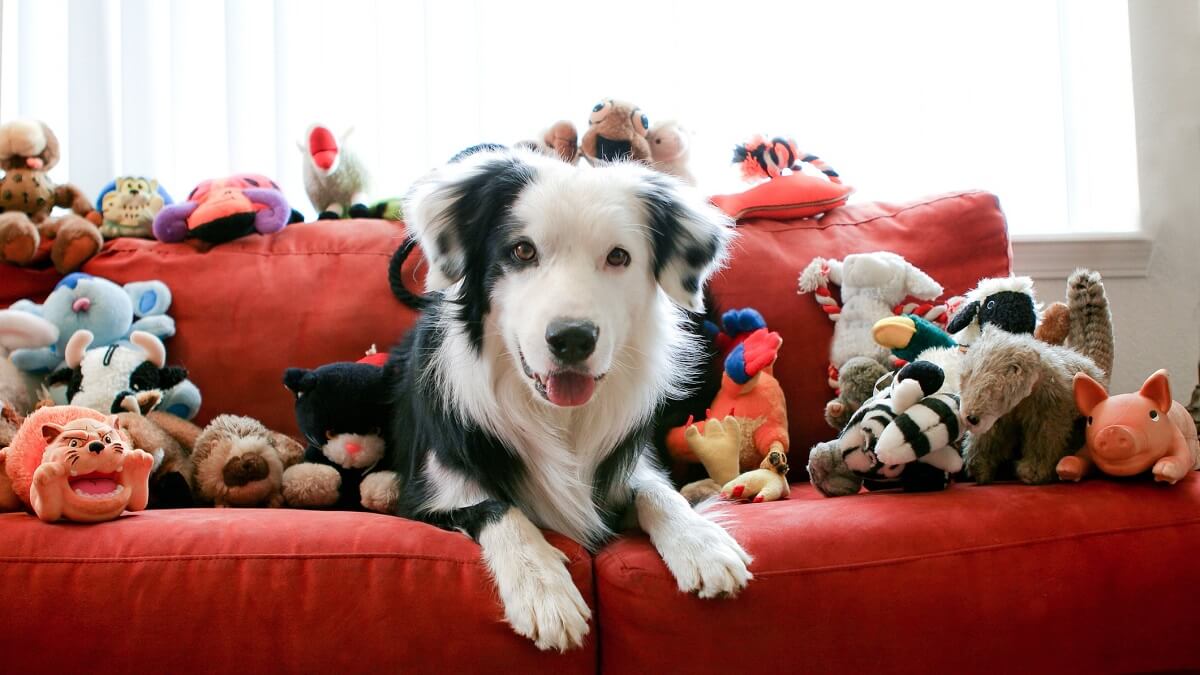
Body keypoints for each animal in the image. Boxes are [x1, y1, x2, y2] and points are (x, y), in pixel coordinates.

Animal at [386, 147, 748, 648]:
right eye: (522, 251)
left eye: (618, 256)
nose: (573, 339)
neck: (556, 415)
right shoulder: (426, 498)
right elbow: (498, 509)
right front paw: (544, 590)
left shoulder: (630, 463)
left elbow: (657, 491)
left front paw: (702, 543)